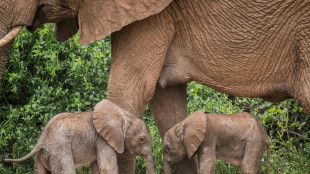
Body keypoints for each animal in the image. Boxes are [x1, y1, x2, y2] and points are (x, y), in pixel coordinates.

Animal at [4, 99, 155, 174]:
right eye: (142, 139)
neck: (123, 114)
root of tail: (41, 141)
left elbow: (96, 168)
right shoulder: (102, 140)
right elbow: (107, 168)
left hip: (44, 154)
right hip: (59, 150)